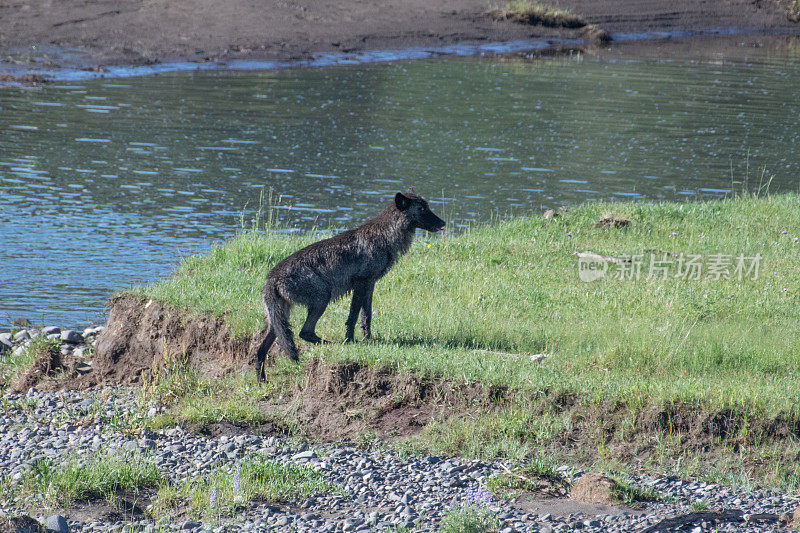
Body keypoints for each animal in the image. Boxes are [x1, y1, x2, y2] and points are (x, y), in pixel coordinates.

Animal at [255, 189, 444, 380]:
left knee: (260, 351)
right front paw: (350, 341)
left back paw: (261, 382)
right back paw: (331, 343)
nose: (443, 223)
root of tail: (271, 278)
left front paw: (368, 341)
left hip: (279, 321)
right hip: (322, 298)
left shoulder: (369, 285)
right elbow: (352, 317)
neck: (385, 235)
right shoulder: (360, 284)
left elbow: (366, 316)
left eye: (427, 207)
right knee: (304, 332)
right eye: (422, 209)